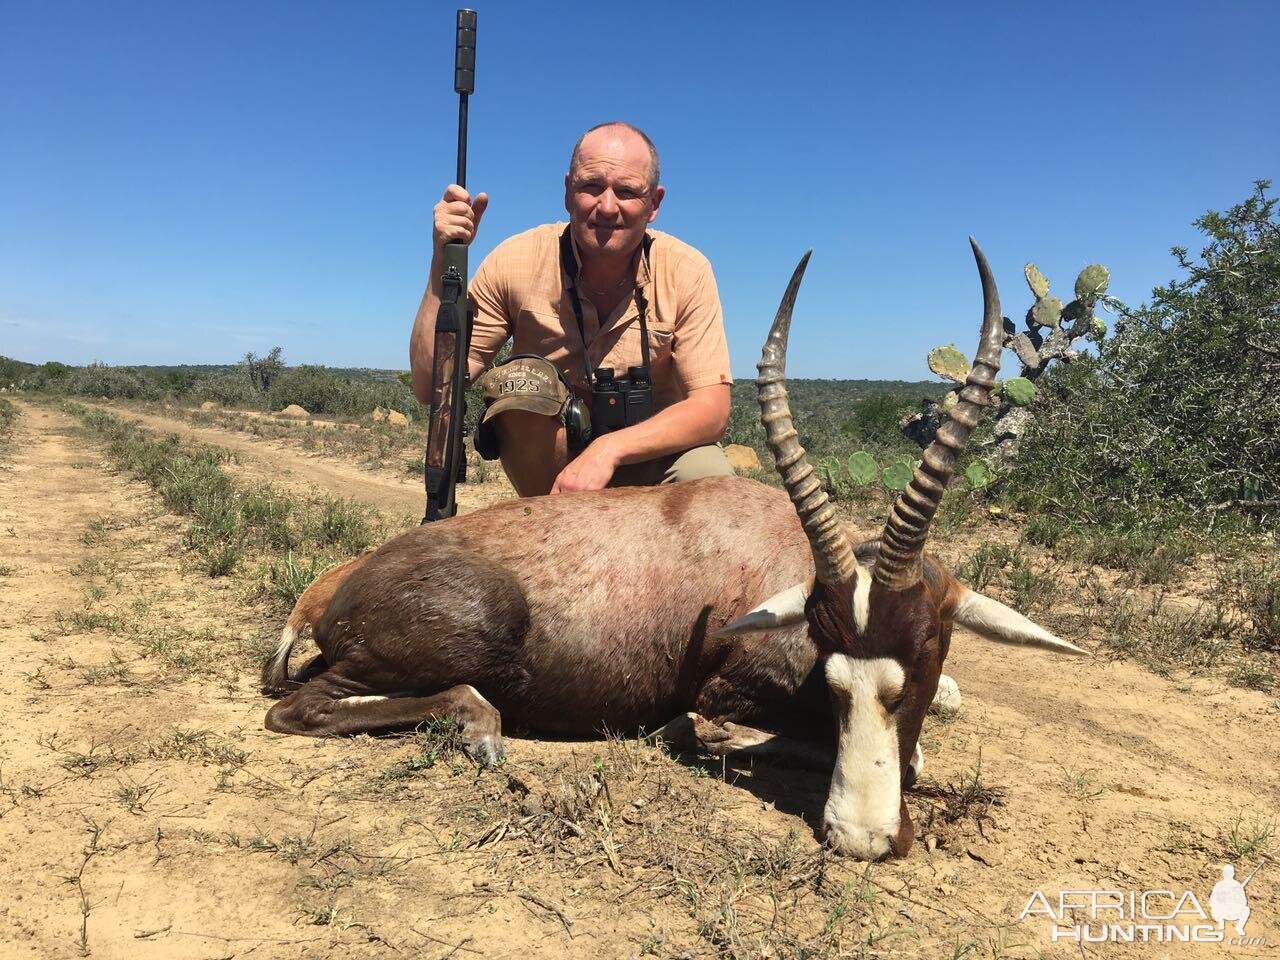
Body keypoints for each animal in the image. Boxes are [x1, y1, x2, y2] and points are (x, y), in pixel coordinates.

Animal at [264, 244, 1085, 860]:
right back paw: (479, 725)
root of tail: (328, 592)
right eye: (834, 676)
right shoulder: (720, 694)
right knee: (297, 710)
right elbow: (760, 733)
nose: (861, 839)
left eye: (922, 658)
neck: (769, 543)